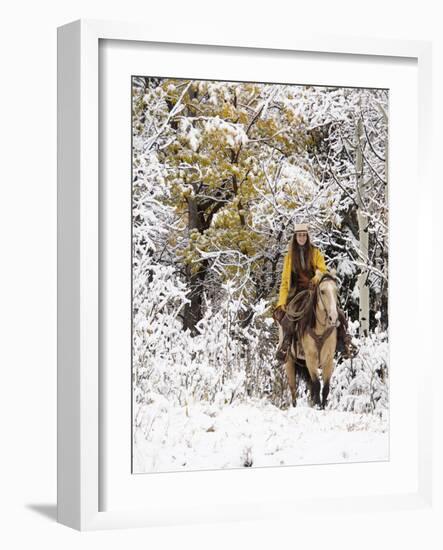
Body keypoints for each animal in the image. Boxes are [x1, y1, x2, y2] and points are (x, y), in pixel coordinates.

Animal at [280, 272, 340, 410]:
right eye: (322, 291)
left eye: (336, 290)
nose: (333, 317)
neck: (320, 329)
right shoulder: (311, 358)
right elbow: (317, 384)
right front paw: (318, 407)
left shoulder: (328, 360)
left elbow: (326, 387)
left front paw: (322, 407)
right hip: (289, 362)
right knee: (293, 390)